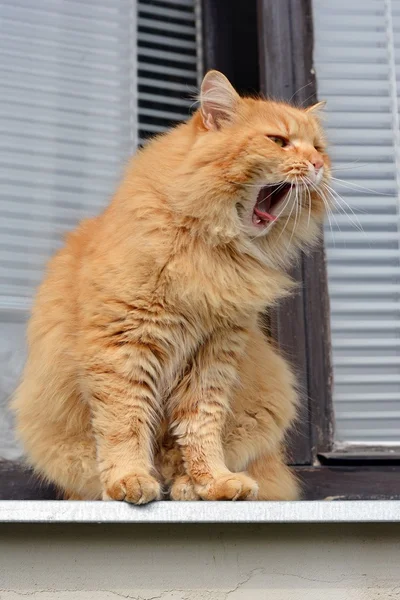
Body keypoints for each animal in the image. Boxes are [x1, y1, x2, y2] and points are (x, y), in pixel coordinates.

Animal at [14, 69, 330, 502]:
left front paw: (213, 480)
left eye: (319, 148)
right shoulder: (123, 347)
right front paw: (128, 479)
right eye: (278, 141)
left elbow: (201, 428)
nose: (317, 164)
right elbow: (125, 424)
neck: (213, 250)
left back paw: (186, 487)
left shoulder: (213, 355)